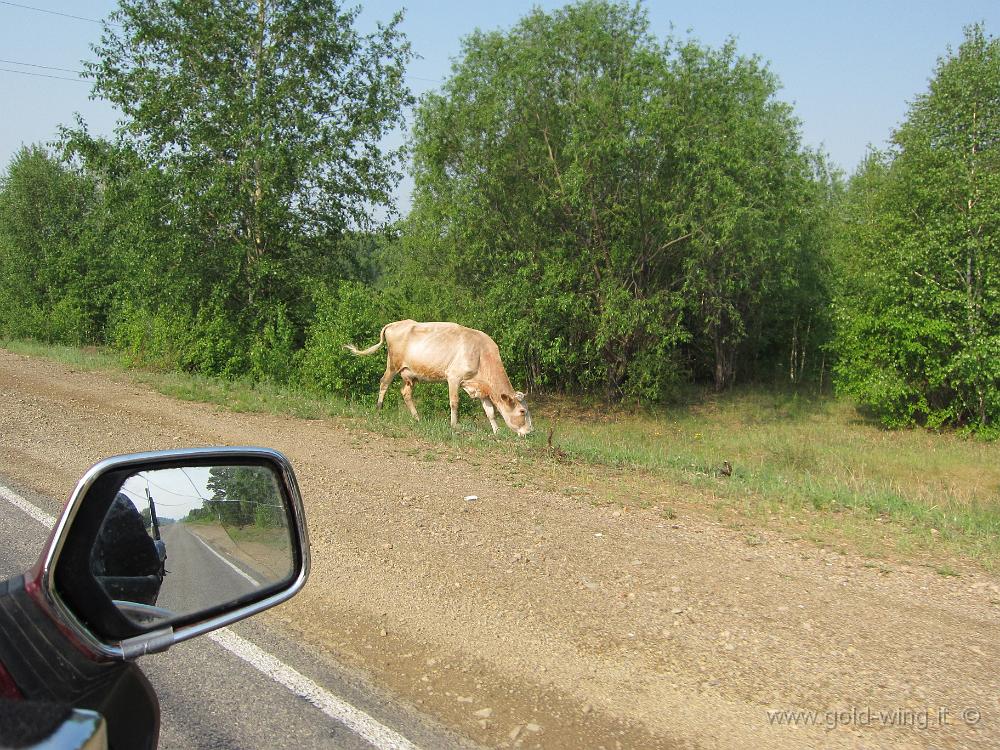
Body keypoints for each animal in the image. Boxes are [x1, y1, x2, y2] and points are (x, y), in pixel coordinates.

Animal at [344, 322, 532, 438]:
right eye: (522, 411)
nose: (530, 432)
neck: (482, 353)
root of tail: (396, 323)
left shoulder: (483, 388)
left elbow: (490, 411)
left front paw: (496, 431)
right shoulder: (454, 377)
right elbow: (454, 402)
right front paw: (454, 425)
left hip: (409, 374)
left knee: (405, 393)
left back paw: (417, 418)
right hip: (393, 364)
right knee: (383, 382)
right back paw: (378, 409)